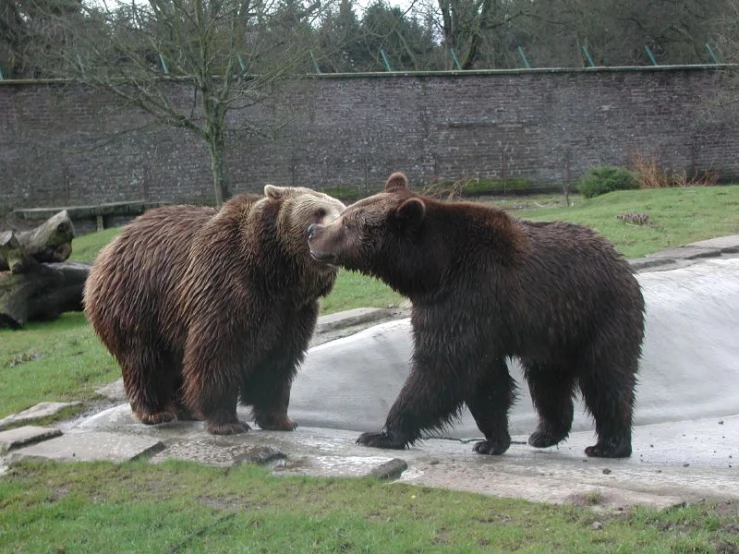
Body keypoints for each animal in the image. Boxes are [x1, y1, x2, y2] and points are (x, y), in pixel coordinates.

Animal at [84, 188, 346, 434]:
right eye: (319, 211)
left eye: (342, 212)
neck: (276, 275)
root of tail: (108, 249)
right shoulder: (226, 285)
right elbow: (218, 352)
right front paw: (227, 423)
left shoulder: (293, 311)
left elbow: (278, 362)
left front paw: (281, 420)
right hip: (138, 300)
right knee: (145, 360)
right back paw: (155, 412)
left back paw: (187, 410)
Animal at [310, 170, 644, 454]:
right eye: (346, 213)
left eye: (349, 222)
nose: (313, 230)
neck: (433, 271)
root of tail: (619, 257)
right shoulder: (459, 311)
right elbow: (486, 381)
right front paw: (493, 440)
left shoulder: (469, 298)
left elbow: (442, 368)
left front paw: (380, 434)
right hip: (552, 333)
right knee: (548, 381)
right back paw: (545, 434)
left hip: (600, 313)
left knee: (606, 377)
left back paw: (609, 444)